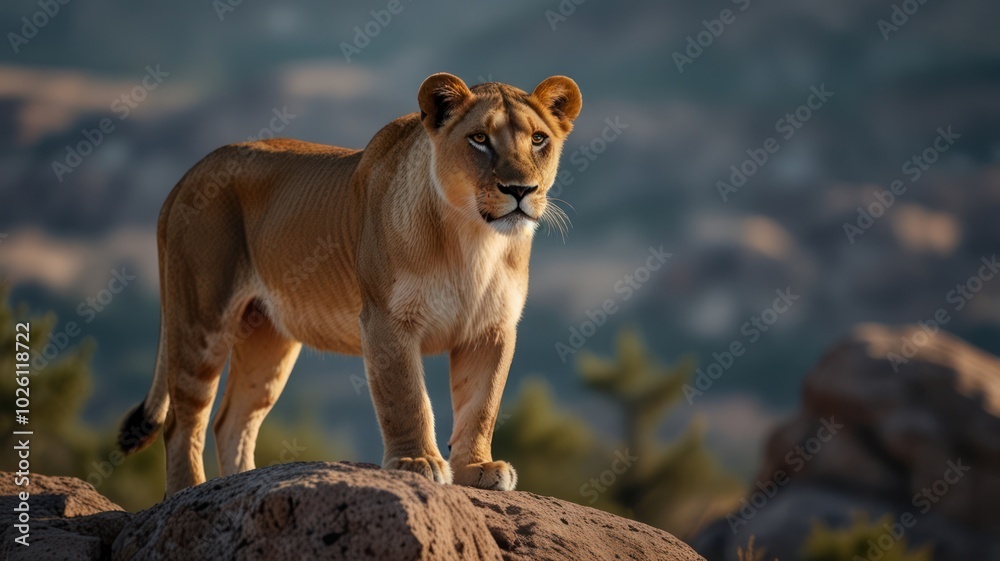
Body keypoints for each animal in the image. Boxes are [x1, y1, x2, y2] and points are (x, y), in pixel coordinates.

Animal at [118, 72, 582, 497]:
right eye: (480, 139)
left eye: (538, 139)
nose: (520, 190)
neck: (473, 239)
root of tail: (187, 175)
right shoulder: (386, 319)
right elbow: (406, 397)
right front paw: (417, 461)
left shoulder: (491, 329)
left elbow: (481, 404)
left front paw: (477, 468)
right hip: (203, 319)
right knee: (184, 420)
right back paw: (187, 493)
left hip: (267, 339)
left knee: (232, 420)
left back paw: (239, 486)